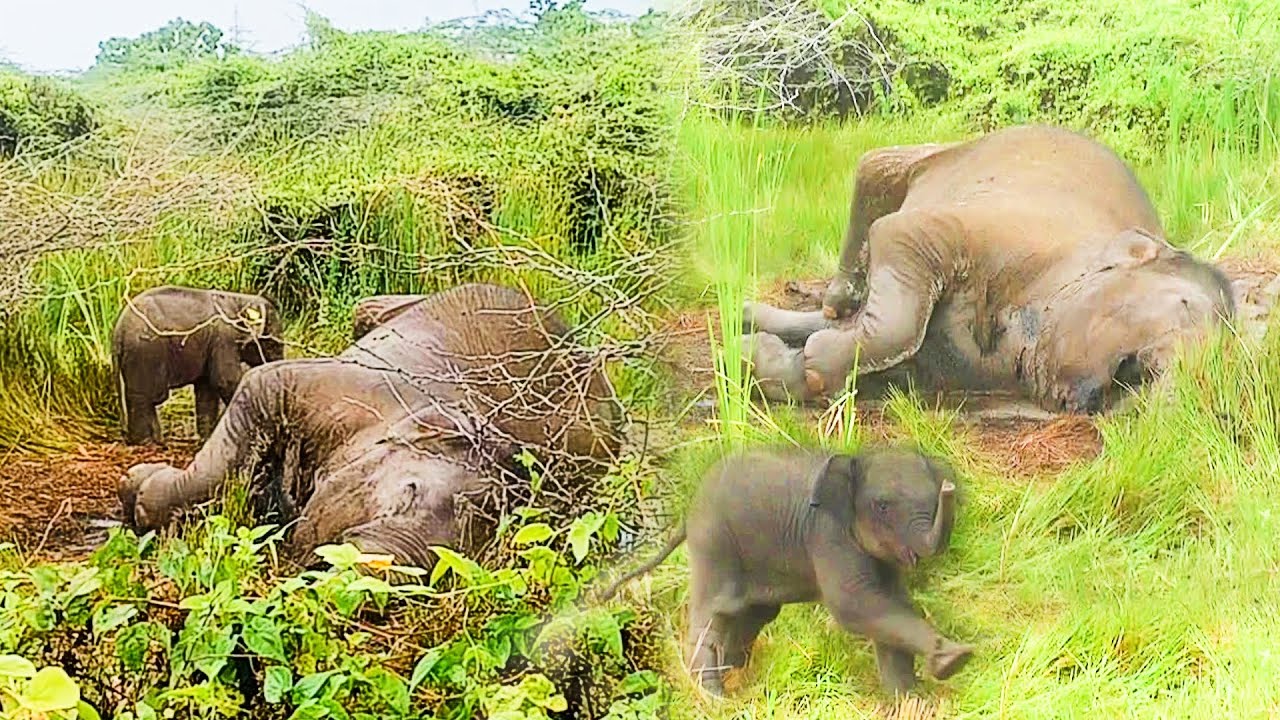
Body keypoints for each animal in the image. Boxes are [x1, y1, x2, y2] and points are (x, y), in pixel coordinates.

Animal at [111, 285, 285, 445]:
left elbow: (207, 389)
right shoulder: (224, 339)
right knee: (145, 397)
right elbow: (225, 380)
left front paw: (206, 439)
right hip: (145, 352)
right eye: (273, 345)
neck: (240, 299)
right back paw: (145, 442)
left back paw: (156, 441)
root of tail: (118, 332)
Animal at [599, 446, 971, 696]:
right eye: (882, 506)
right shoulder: (826, 533)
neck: (853, 459)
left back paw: (737, 679)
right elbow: (855, 605)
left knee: (753, 615)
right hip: (714, 540)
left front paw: (910, 701)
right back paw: (714, 696)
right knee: (715, 613)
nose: (949, 488)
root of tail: (688, 512)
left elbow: (889, 602)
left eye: (933, 500)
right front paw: (955, 659)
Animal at [742, 125, 1236, 414]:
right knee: (876, 164)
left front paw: (763, 354)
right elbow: (896, 249)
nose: (1159, 378)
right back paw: (838, 295)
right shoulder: (979, 229)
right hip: (945, 154)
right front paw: (809, 357)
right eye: (1185, 305)